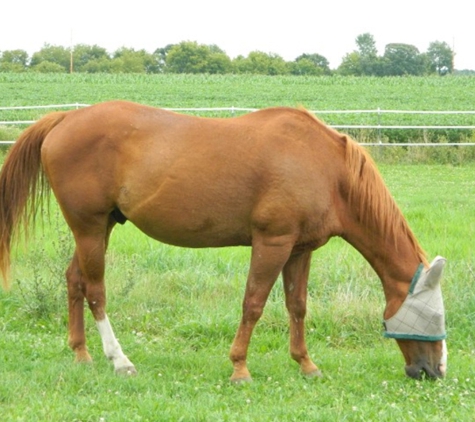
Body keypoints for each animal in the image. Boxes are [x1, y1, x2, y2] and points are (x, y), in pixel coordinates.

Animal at [0, 100, 446, 380]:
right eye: (435, 317)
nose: (435, 372)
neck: (325, 167)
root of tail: (64, 119)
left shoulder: (299, 250)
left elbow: (297, 307)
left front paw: (306, 365)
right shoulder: (272, 243)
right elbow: (254, 304)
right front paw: (239, 367)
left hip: (99, 228)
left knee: (74, 280)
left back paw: (81, 354)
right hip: (90, 228)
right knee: (95, 291)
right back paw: (120, 361)